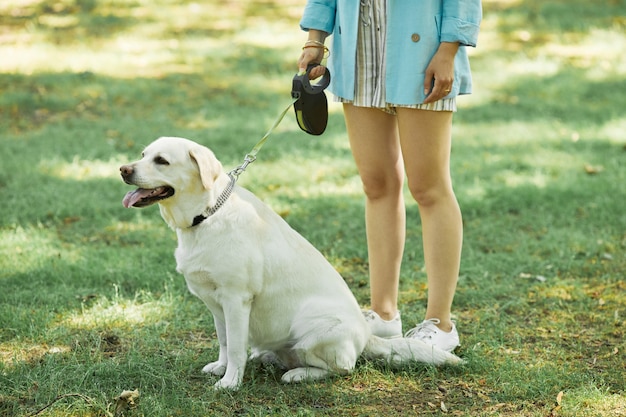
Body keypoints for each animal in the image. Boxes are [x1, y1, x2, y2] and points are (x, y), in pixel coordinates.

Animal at [119, 138, 458, 388]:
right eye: (143, 154)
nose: (123, 170)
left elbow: (237, 346)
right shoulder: (216, 305)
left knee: (343, 368)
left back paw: (297, 374)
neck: (206, 215)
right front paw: (221, 368)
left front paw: (230, 383)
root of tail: (365, 335)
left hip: (313, 328)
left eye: (162, 161)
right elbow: (226, 342)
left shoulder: (236, 299)